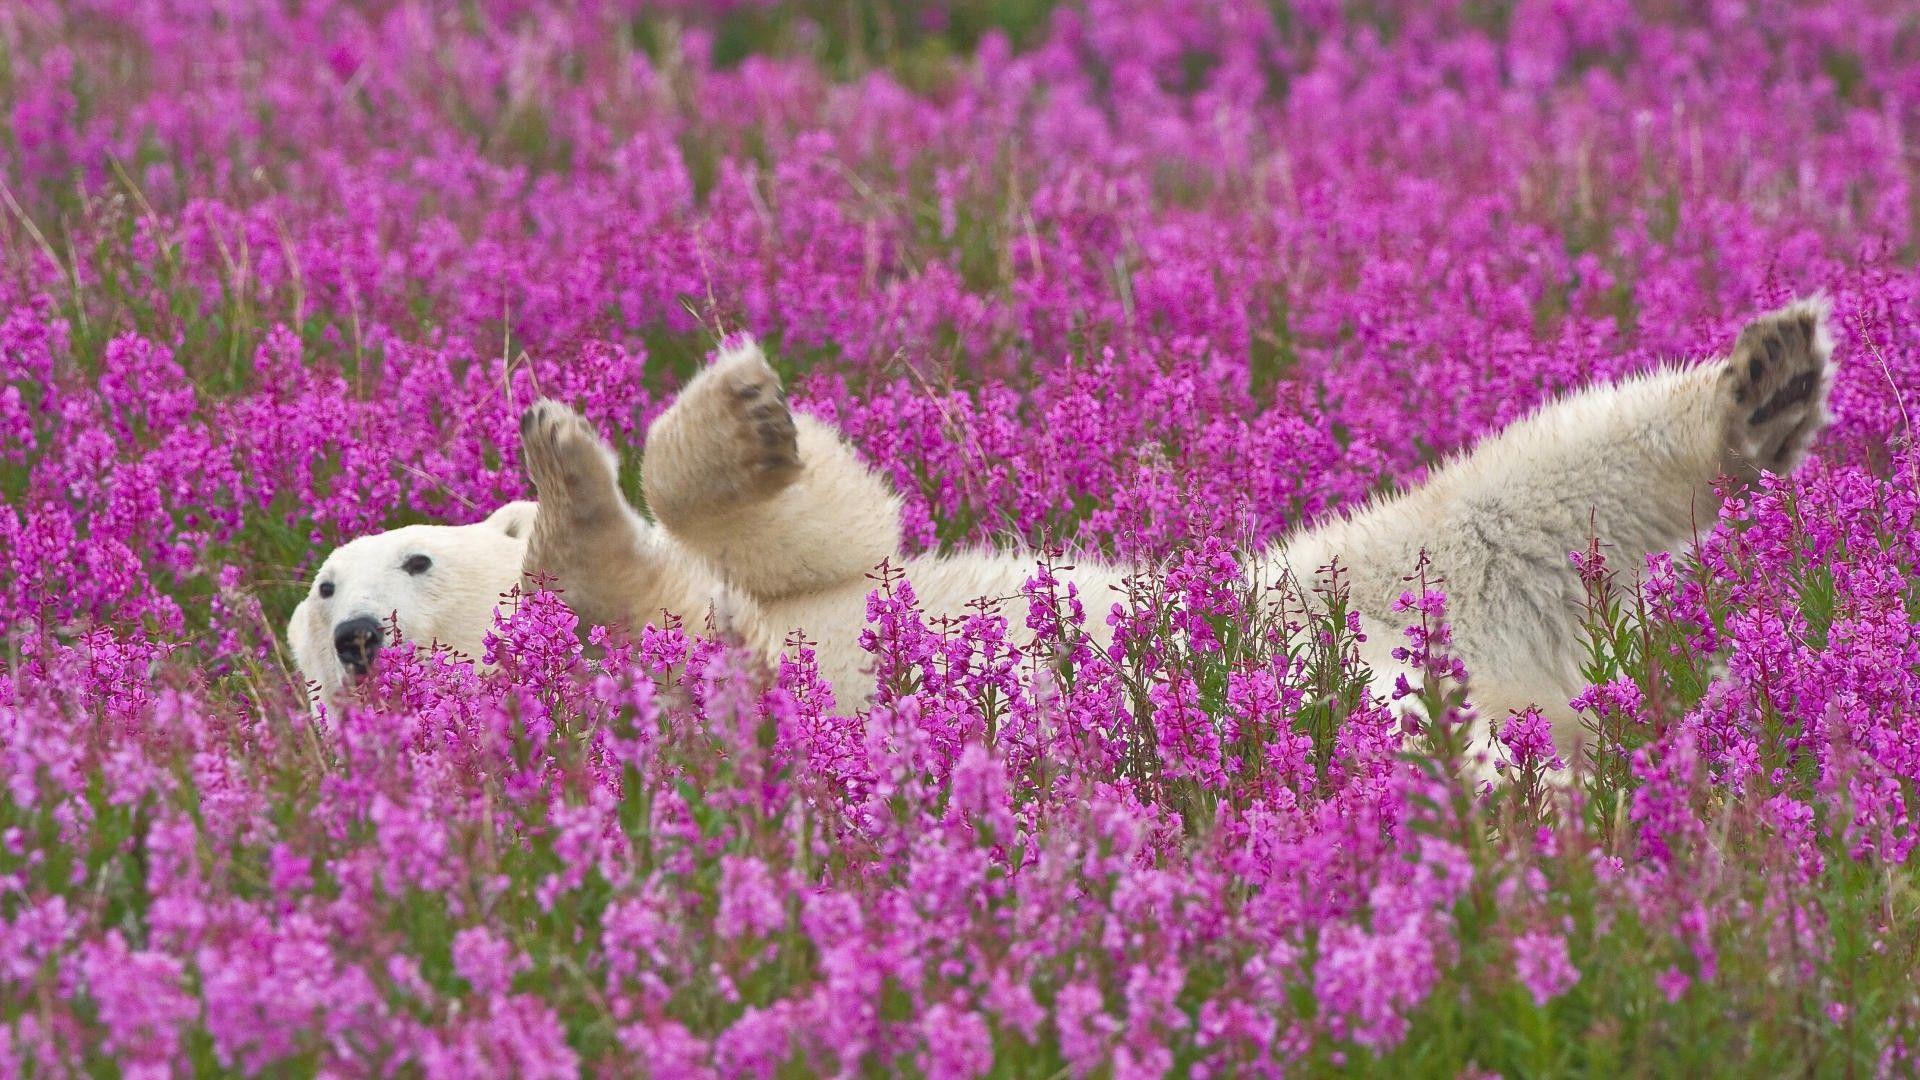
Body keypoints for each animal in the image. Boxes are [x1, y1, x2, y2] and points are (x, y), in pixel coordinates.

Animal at [292, 297, 1835, 773]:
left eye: (406, 557)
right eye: (319, 594)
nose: (358, 634)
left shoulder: (807, 587)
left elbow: (831, 531)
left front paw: (714, 417)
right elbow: (638, 603)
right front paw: (569, 489)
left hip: (1354, 583)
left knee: (1525, 491)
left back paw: (1765, 381)